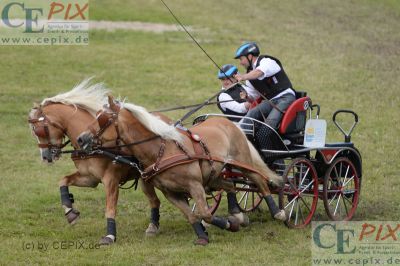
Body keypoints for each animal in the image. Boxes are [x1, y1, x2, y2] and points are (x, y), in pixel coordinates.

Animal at [28, 80, 165, 245]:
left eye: (37, 130)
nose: (45, 157)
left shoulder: (111, 180)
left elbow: (110, 208)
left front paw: (110, 235)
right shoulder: (90, 178)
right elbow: (63, 180)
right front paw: (70, 211)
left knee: (155, 201)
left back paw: (153, 226)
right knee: (155, 201)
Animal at [76, 95, 288, 245]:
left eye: (102, 119)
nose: (80, 138)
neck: (161, 150)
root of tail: (229, 122)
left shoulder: (194, 186)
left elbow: (205, 213)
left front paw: (229, 225)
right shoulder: (171, 193)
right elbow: (192, 215)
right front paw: (204, 235)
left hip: (241, 161)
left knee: (260, 182)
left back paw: (278, 212)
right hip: (214, 175)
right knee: (229, 184)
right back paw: (237, 214)